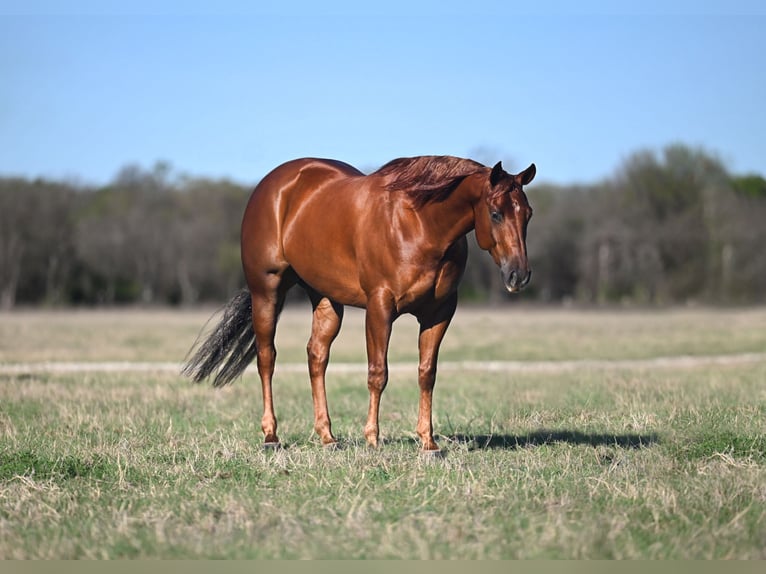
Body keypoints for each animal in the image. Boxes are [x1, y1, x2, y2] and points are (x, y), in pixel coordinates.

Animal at [183, 155, 535, 453]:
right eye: (495, 213)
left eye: (527, 214)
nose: (518, 275)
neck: (420, 224)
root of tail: (273, 185)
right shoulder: (380, 307)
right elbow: (378, 373)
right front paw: (372, 439)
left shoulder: (439, 313)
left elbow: (427, 373)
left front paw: (428, 442)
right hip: (266, 291)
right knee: (267, 358)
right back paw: (271, 436)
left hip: (326, 298)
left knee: (316, 356)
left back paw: (327, 436)